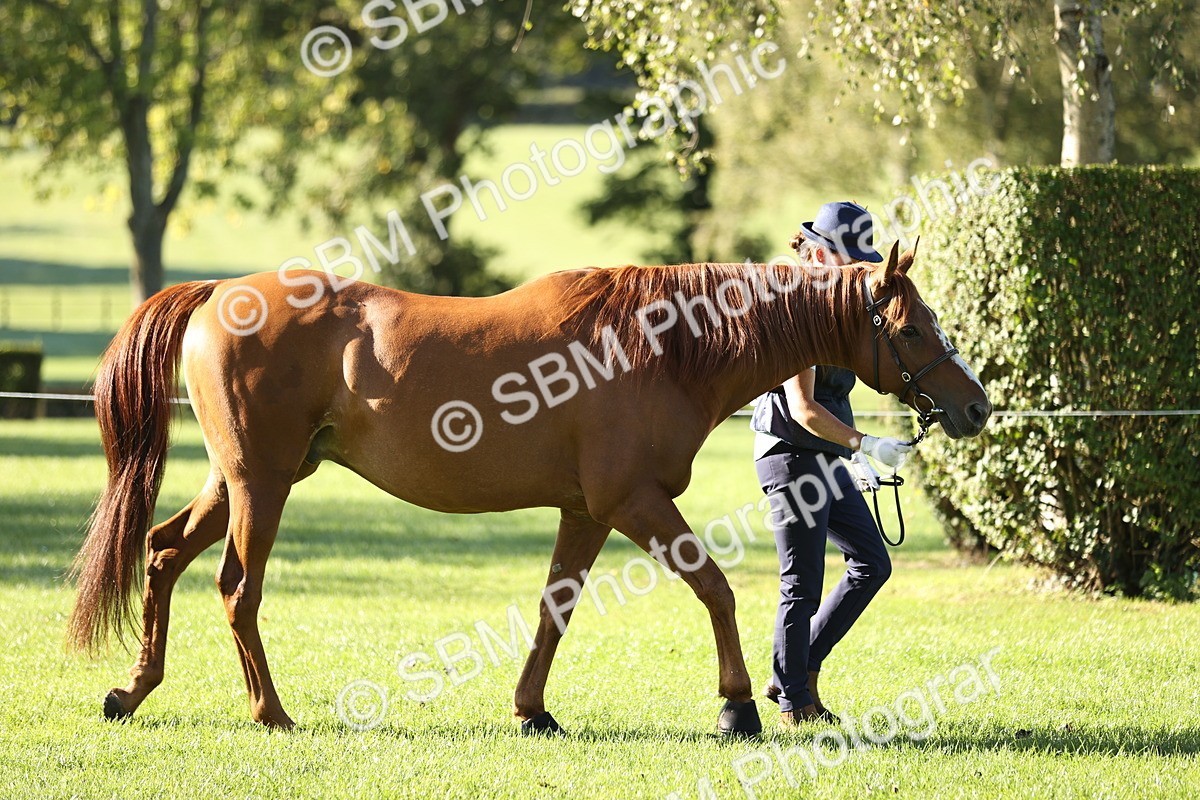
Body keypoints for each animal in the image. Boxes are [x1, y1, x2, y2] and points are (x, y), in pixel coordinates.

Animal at [68, 240, 990, 735]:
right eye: (912, 328)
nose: (975, 405)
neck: (660, 346)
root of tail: (220, 293)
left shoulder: (585, 512)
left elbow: (556, 610)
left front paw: (532, 709)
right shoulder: (633, 504)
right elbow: (719, 590)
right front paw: (738, 707)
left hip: (243, 480)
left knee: (162, 554)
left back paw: (131, 690)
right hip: (261, 486)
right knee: (236, 587)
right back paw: (270, 712)